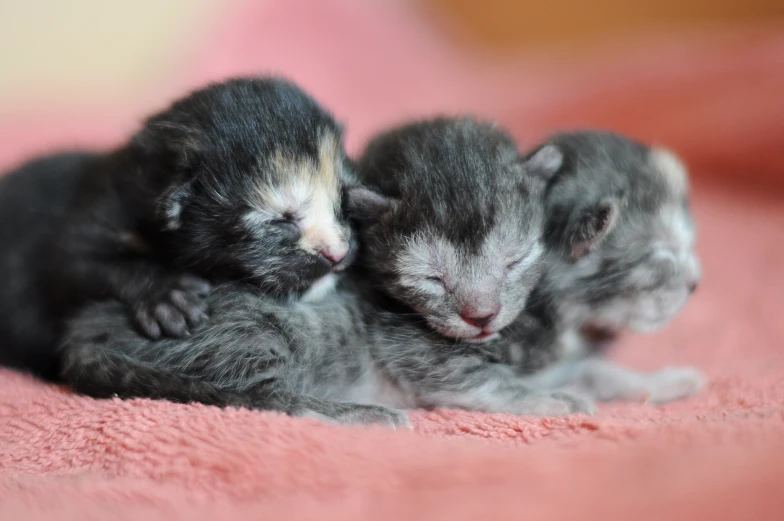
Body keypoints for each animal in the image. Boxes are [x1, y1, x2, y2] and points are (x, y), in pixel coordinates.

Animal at [0, 77, 356, 378]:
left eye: (342, 199)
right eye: (281, 220)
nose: (338, 254)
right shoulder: (96, 216)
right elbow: (70, 264)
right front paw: (165, 294)